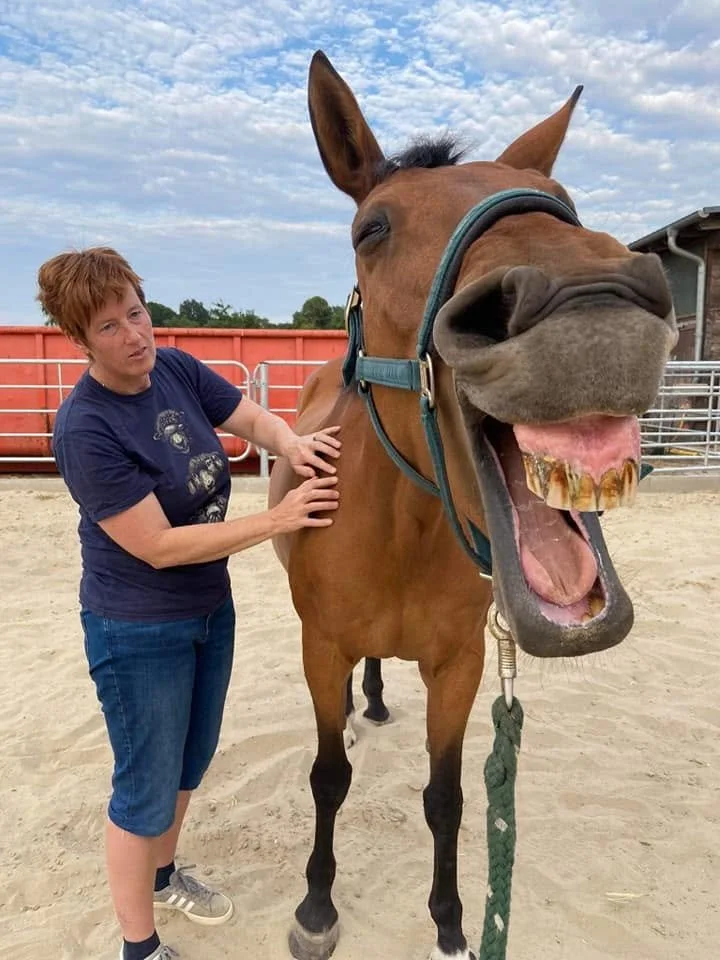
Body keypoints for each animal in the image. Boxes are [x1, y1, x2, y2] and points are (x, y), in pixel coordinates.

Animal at [268, 50, 677, 960]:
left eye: (560, 201)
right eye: (371, 229)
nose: (589, 302)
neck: (402, 535)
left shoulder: (458, 667)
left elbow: (449, 797)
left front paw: (454, 922)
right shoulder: (320, 647)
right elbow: (328, 777)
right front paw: (316, 905)